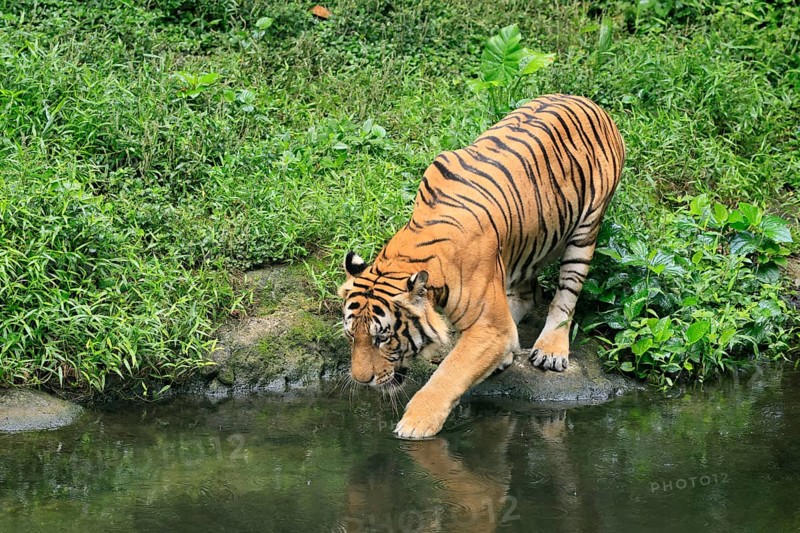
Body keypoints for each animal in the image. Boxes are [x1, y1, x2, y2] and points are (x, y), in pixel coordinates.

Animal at [338, 94, 625, 439]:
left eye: (383, 338)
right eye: (351, 335)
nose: (361, 380)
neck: (411, 252)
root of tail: (589, 102)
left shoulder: (491, 328)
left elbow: (450, 373)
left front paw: (415, 425)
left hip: (585, 231)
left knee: (565, 294)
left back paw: (551, 350)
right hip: (525, 245)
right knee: (529, 294)